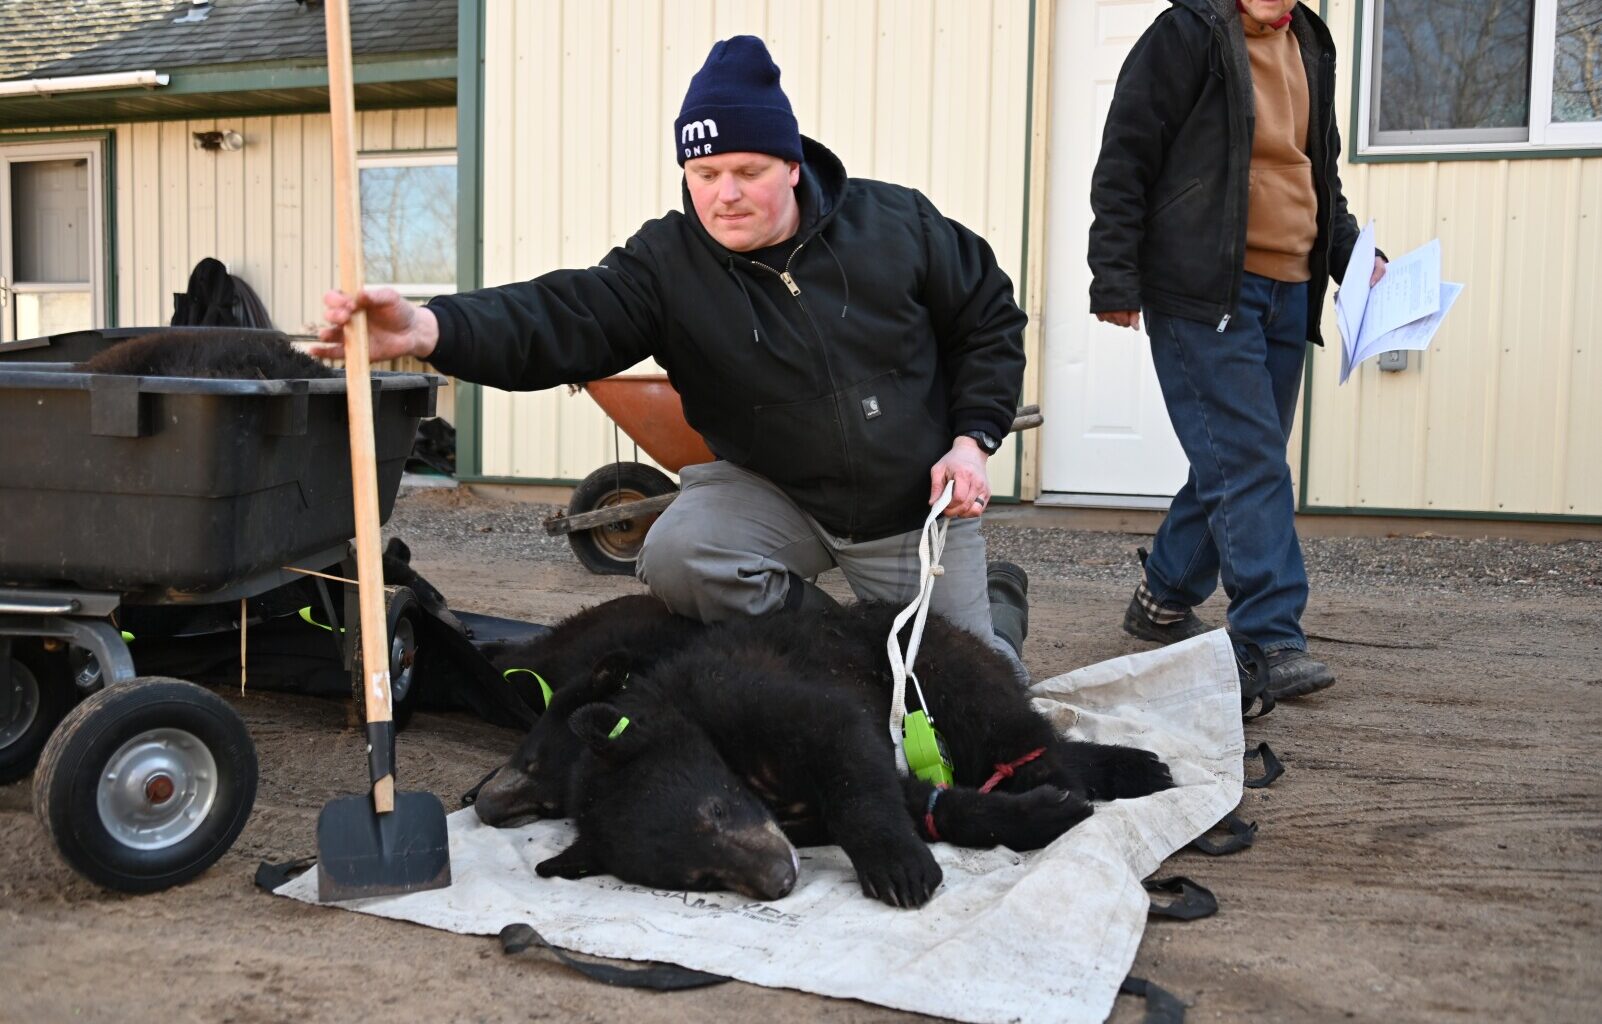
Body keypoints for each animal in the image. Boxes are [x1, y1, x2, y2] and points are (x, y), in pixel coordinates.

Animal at [511, 598, 1174, 908]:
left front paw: (898, 869)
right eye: (700, 877)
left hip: (936, 672)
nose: (781, 878)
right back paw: (1129, 768)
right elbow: (916, 797)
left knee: (1007, 729)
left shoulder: (742, 692)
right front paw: (1038, 814)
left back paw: (1087, 772)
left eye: (715, 812)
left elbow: (845, 747)